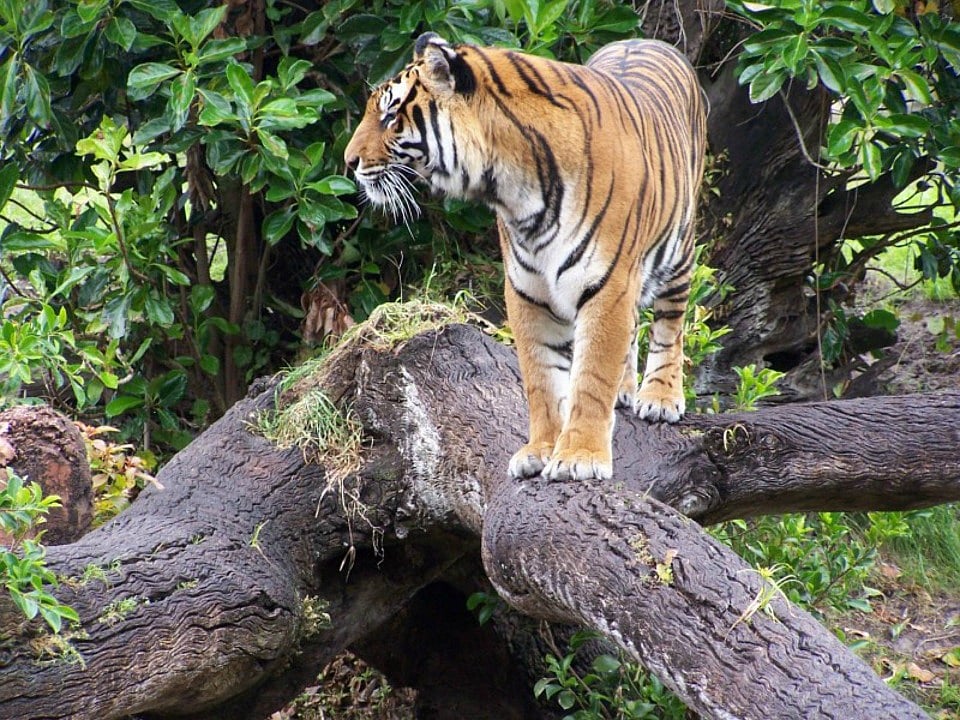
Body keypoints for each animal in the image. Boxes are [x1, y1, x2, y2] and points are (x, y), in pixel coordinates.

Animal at [344, 32, 707, 481]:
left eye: (391, 115)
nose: (349, 162)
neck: (515, 190)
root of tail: (643, 39)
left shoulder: (608, 284)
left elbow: (591, 375)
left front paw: (579, 457)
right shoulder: (528, 291)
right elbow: (541, 379)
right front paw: (541, 451)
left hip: (680, 247)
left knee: (670, 323)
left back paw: (659, 396)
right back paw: (624, 391)